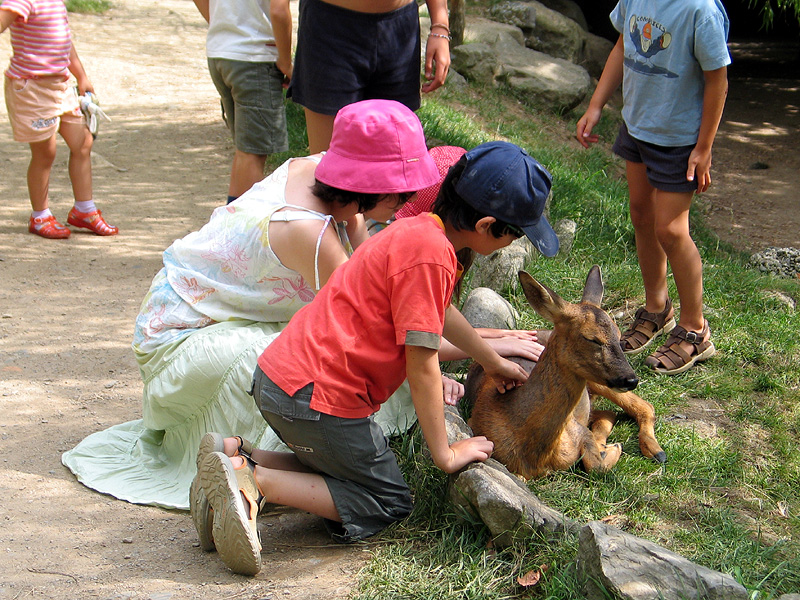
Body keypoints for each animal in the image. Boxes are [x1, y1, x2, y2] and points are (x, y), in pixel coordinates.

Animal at [466, 266, 664, 478]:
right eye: (592, 338)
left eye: (620, 335)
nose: (631, 379)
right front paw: (610, 449)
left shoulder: (577, 429)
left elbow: (595, 466)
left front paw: (609, 450)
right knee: (610, 412)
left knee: (643, 406)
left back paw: (655, 451)